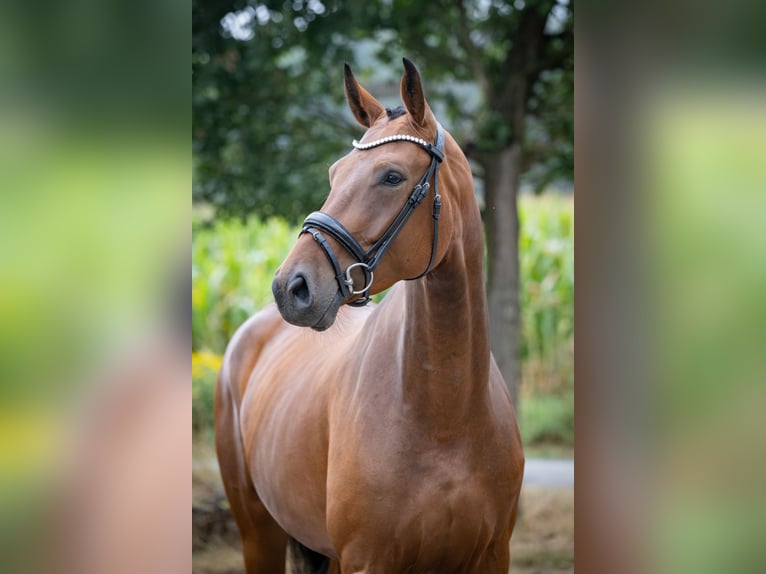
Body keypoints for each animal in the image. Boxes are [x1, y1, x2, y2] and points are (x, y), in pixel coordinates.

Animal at [215, 58, 524, 574]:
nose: (291, 287)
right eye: (335, 172)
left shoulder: (491, 555)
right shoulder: (367, 560)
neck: (447, 415)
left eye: (392, 176)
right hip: (258, 534)